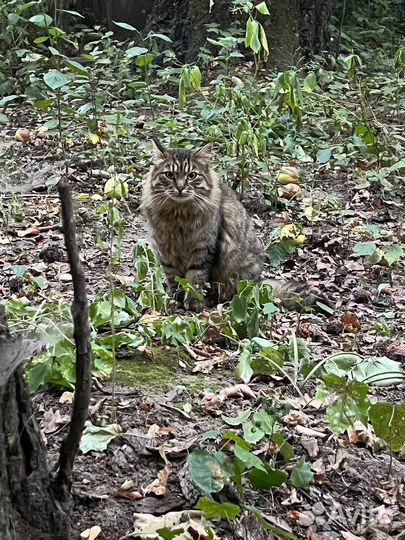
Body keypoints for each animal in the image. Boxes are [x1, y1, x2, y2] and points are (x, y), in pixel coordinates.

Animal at [140, 138, 330, 312]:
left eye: (191, 176)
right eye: (170, 175)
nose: (180, 188)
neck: (178, 215)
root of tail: (258, 280)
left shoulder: (203, 250)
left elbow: (195, 280)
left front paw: (193, 304)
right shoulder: (166, 250)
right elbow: (174, 279)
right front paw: (175, 301)